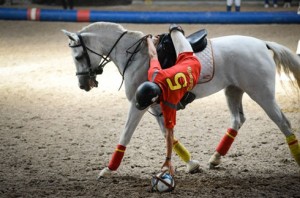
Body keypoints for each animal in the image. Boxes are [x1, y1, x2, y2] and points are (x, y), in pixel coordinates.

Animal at [62, 21, 298, 178]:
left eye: (78, 57)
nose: (83, 85)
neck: (134, 56)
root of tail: (262, 44)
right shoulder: (158, 106)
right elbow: (168, 135)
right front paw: (192, 164)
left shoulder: (138, 105)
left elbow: (126, 135)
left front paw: (109, 169)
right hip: (233, 90)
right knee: (237, 120)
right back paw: (215, 158)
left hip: (261, 94)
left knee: (283, 123)